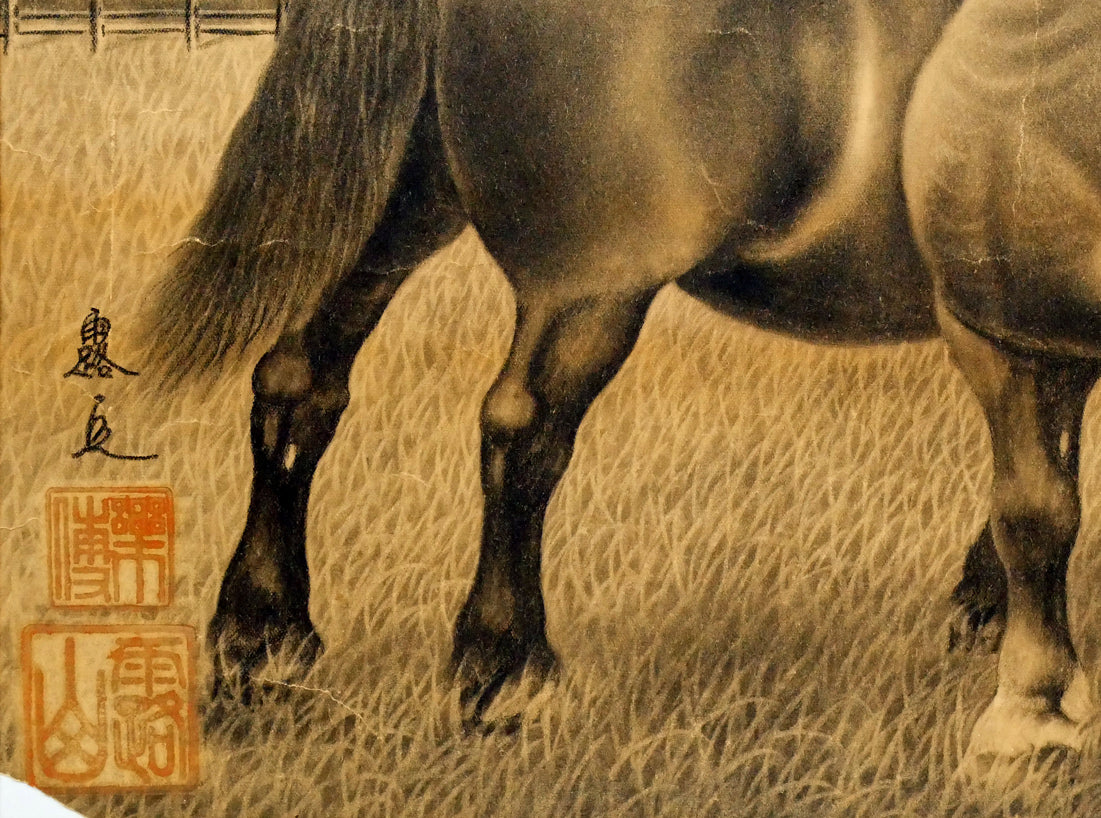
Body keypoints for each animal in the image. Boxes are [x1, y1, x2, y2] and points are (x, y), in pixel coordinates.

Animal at [144, 0, 1062, 757]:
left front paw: (985, 607)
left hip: (395, 208)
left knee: (298, 383)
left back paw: (261, 640)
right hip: (588, 284)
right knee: (522, 430)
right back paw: (503, 671)